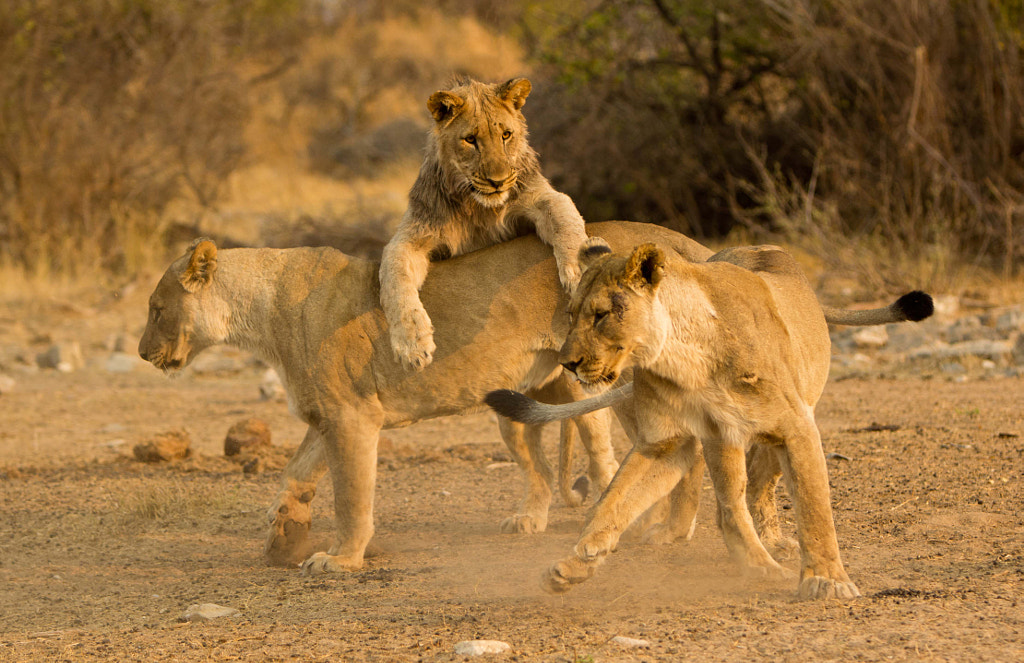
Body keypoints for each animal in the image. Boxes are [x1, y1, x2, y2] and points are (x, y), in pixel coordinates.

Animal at [138, 220, 712, 573]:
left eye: (156, 309)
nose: (142, 353)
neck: (261, 317)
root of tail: (668, 241)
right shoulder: (328, 415)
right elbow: (296, 472)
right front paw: (283, 533)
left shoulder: (352, 417)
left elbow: (351, 496)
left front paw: (340, 559)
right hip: (521, 396)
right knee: (543, 468)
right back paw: (533, 520)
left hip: (616, 378)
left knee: (675, 449)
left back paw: (668, 528)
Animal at [380, 76, 589, 373]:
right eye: (470, 140)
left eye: (506, 135)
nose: (497, 182)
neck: (477, 209)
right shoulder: (414, 234)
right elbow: (394, 276)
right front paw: (412, 344)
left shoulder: (540, 197)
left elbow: (564, 219)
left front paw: (582, 273)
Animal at [483, 239, 933, 602]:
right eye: (571, 314)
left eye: (601, 315)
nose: (567, 363)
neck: (687, 358)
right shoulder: (667, 442)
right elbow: (613, 503)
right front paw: (577, 564)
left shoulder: (796, 427)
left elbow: (814, 508)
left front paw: (827, 581)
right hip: (722, 439)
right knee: (730, 506)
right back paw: (759, 566)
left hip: (774, 424)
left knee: (759, 490)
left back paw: (773, 548)